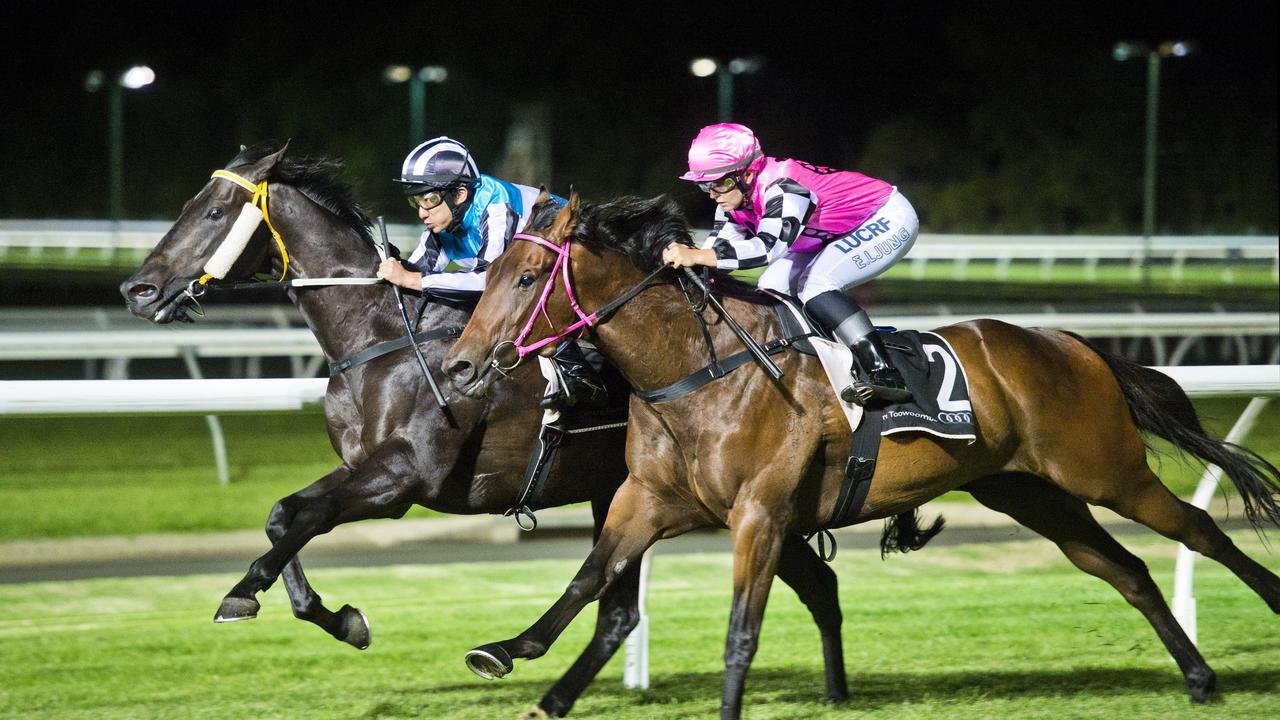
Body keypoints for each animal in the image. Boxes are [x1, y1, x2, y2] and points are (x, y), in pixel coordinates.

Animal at [120, 141, 855, 717]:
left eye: (213, 212)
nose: (137, 291)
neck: (380, 340)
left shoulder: (401, 480)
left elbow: (306, 516)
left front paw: (244, 592)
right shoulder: (363, 466)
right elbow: (284, 515)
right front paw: (334, 617)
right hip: (640, 493)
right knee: (661, 606)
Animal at [445, 192, 1280, 717]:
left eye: (525, 277)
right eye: (487, 274)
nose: (459, 367)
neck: (698, 367)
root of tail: (1074, 344)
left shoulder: (760, 513)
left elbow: (741, 629)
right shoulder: (646, 498)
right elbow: (590, 577)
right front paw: (509, 652)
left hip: (1106, 469)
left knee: (1198, 530)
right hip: (1032, 492)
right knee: (1128, 569)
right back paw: (1198, 677)